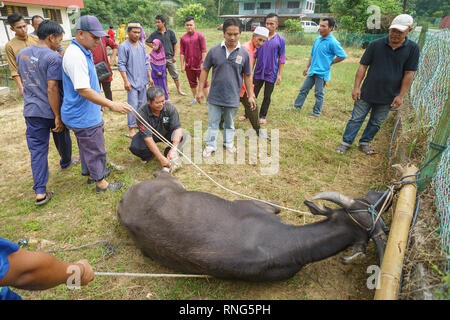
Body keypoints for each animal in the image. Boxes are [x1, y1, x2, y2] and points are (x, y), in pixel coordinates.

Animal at [118, 169, 388, 282]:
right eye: (361, 203)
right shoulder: (251, 205)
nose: (378, 195)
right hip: (173, 184)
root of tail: (125, 203)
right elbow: (277, 205)